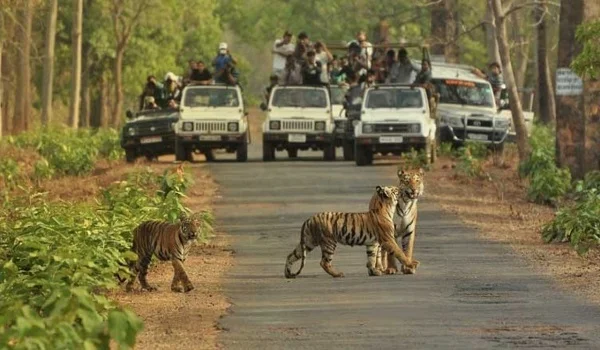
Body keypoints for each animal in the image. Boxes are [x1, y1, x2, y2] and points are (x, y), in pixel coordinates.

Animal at [284, 186, 420, 278]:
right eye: (396, 189)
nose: (403, 189)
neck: (386, 208)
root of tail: (309, 219)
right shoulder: (388, 240)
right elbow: (399, 253)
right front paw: (412, 264)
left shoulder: (372, 243)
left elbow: (371, 258)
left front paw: (374, 271)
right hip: (329, 242)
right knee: (324, 262)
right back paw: (338, 274)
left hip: (308, 242)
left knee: (291, 256)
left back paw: (288, 273)